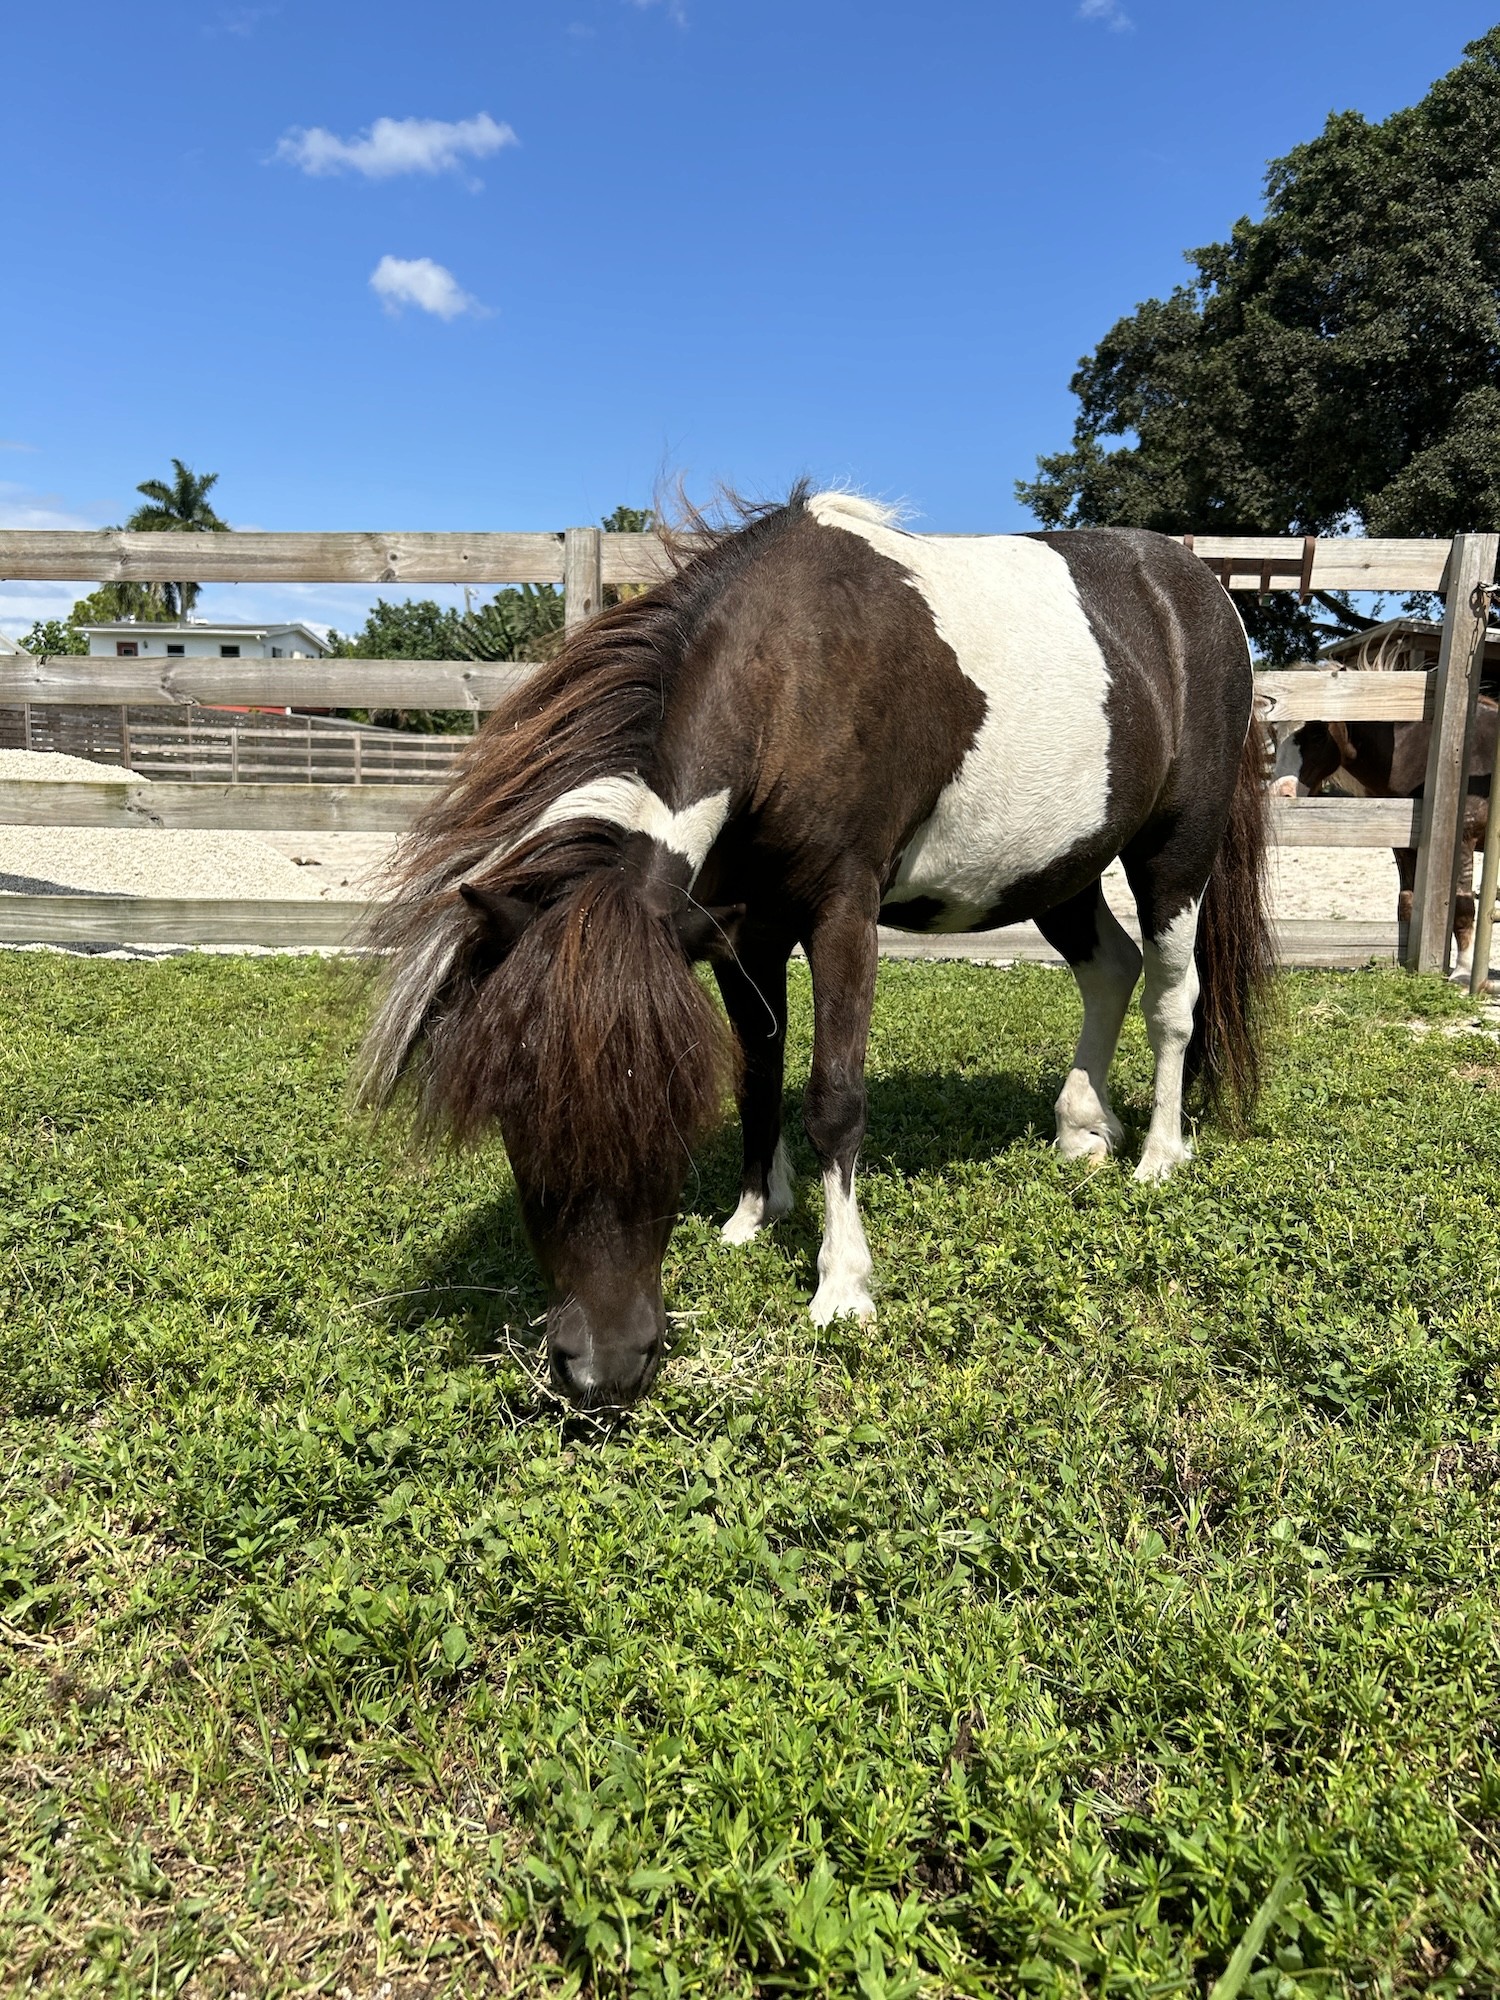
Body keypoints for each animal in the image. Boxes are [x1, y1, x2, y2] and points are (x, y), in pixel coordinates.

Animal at [358, 488, 1272, 1408]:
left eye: (668, 1110)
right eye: (512, 1114)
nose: (603, 1369)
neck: (789, 675)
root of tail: (1198, 585)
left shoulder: (841, 911)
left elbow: (834, 1098)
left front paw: (842, 1284)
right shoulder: (737, 930)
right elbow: (759, 1073)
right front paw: (753, 1214)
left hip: (1175, 851)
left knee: (1171, 1000)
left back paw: (1159, 1155)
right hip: (1057, 869)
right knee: (1109, 969)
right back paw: (1083, 1129)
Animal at [1272, 712, 1496, 976]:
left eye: (1318, 734)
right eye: (1274, 732)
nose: (1281, 794)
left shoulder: (1463, 841)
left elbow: (1463, 906)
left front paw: (1462, 973)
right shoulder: (1407, 845)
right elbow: (1407, 899)